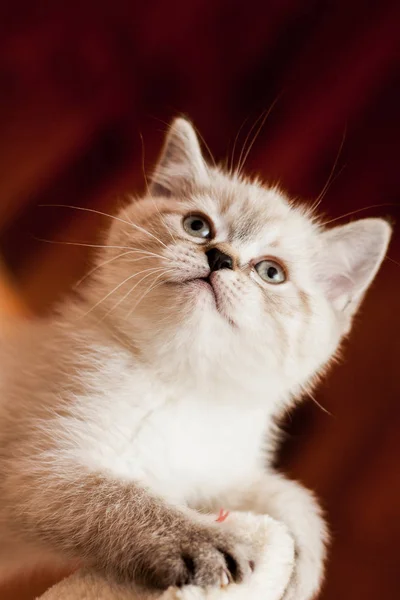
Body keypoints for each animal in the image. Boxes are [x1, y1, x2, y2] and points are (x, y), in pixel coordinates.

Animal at [0, 118, 390, 600]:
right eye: (197, 226)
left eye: (271, 272)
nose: (219, 257)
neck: (181, 384)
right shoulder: (37, 472)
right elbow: (120, 497)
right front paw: (203, 542)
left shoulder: (212, 476)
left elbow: (288, 495)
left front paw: (302, 569)